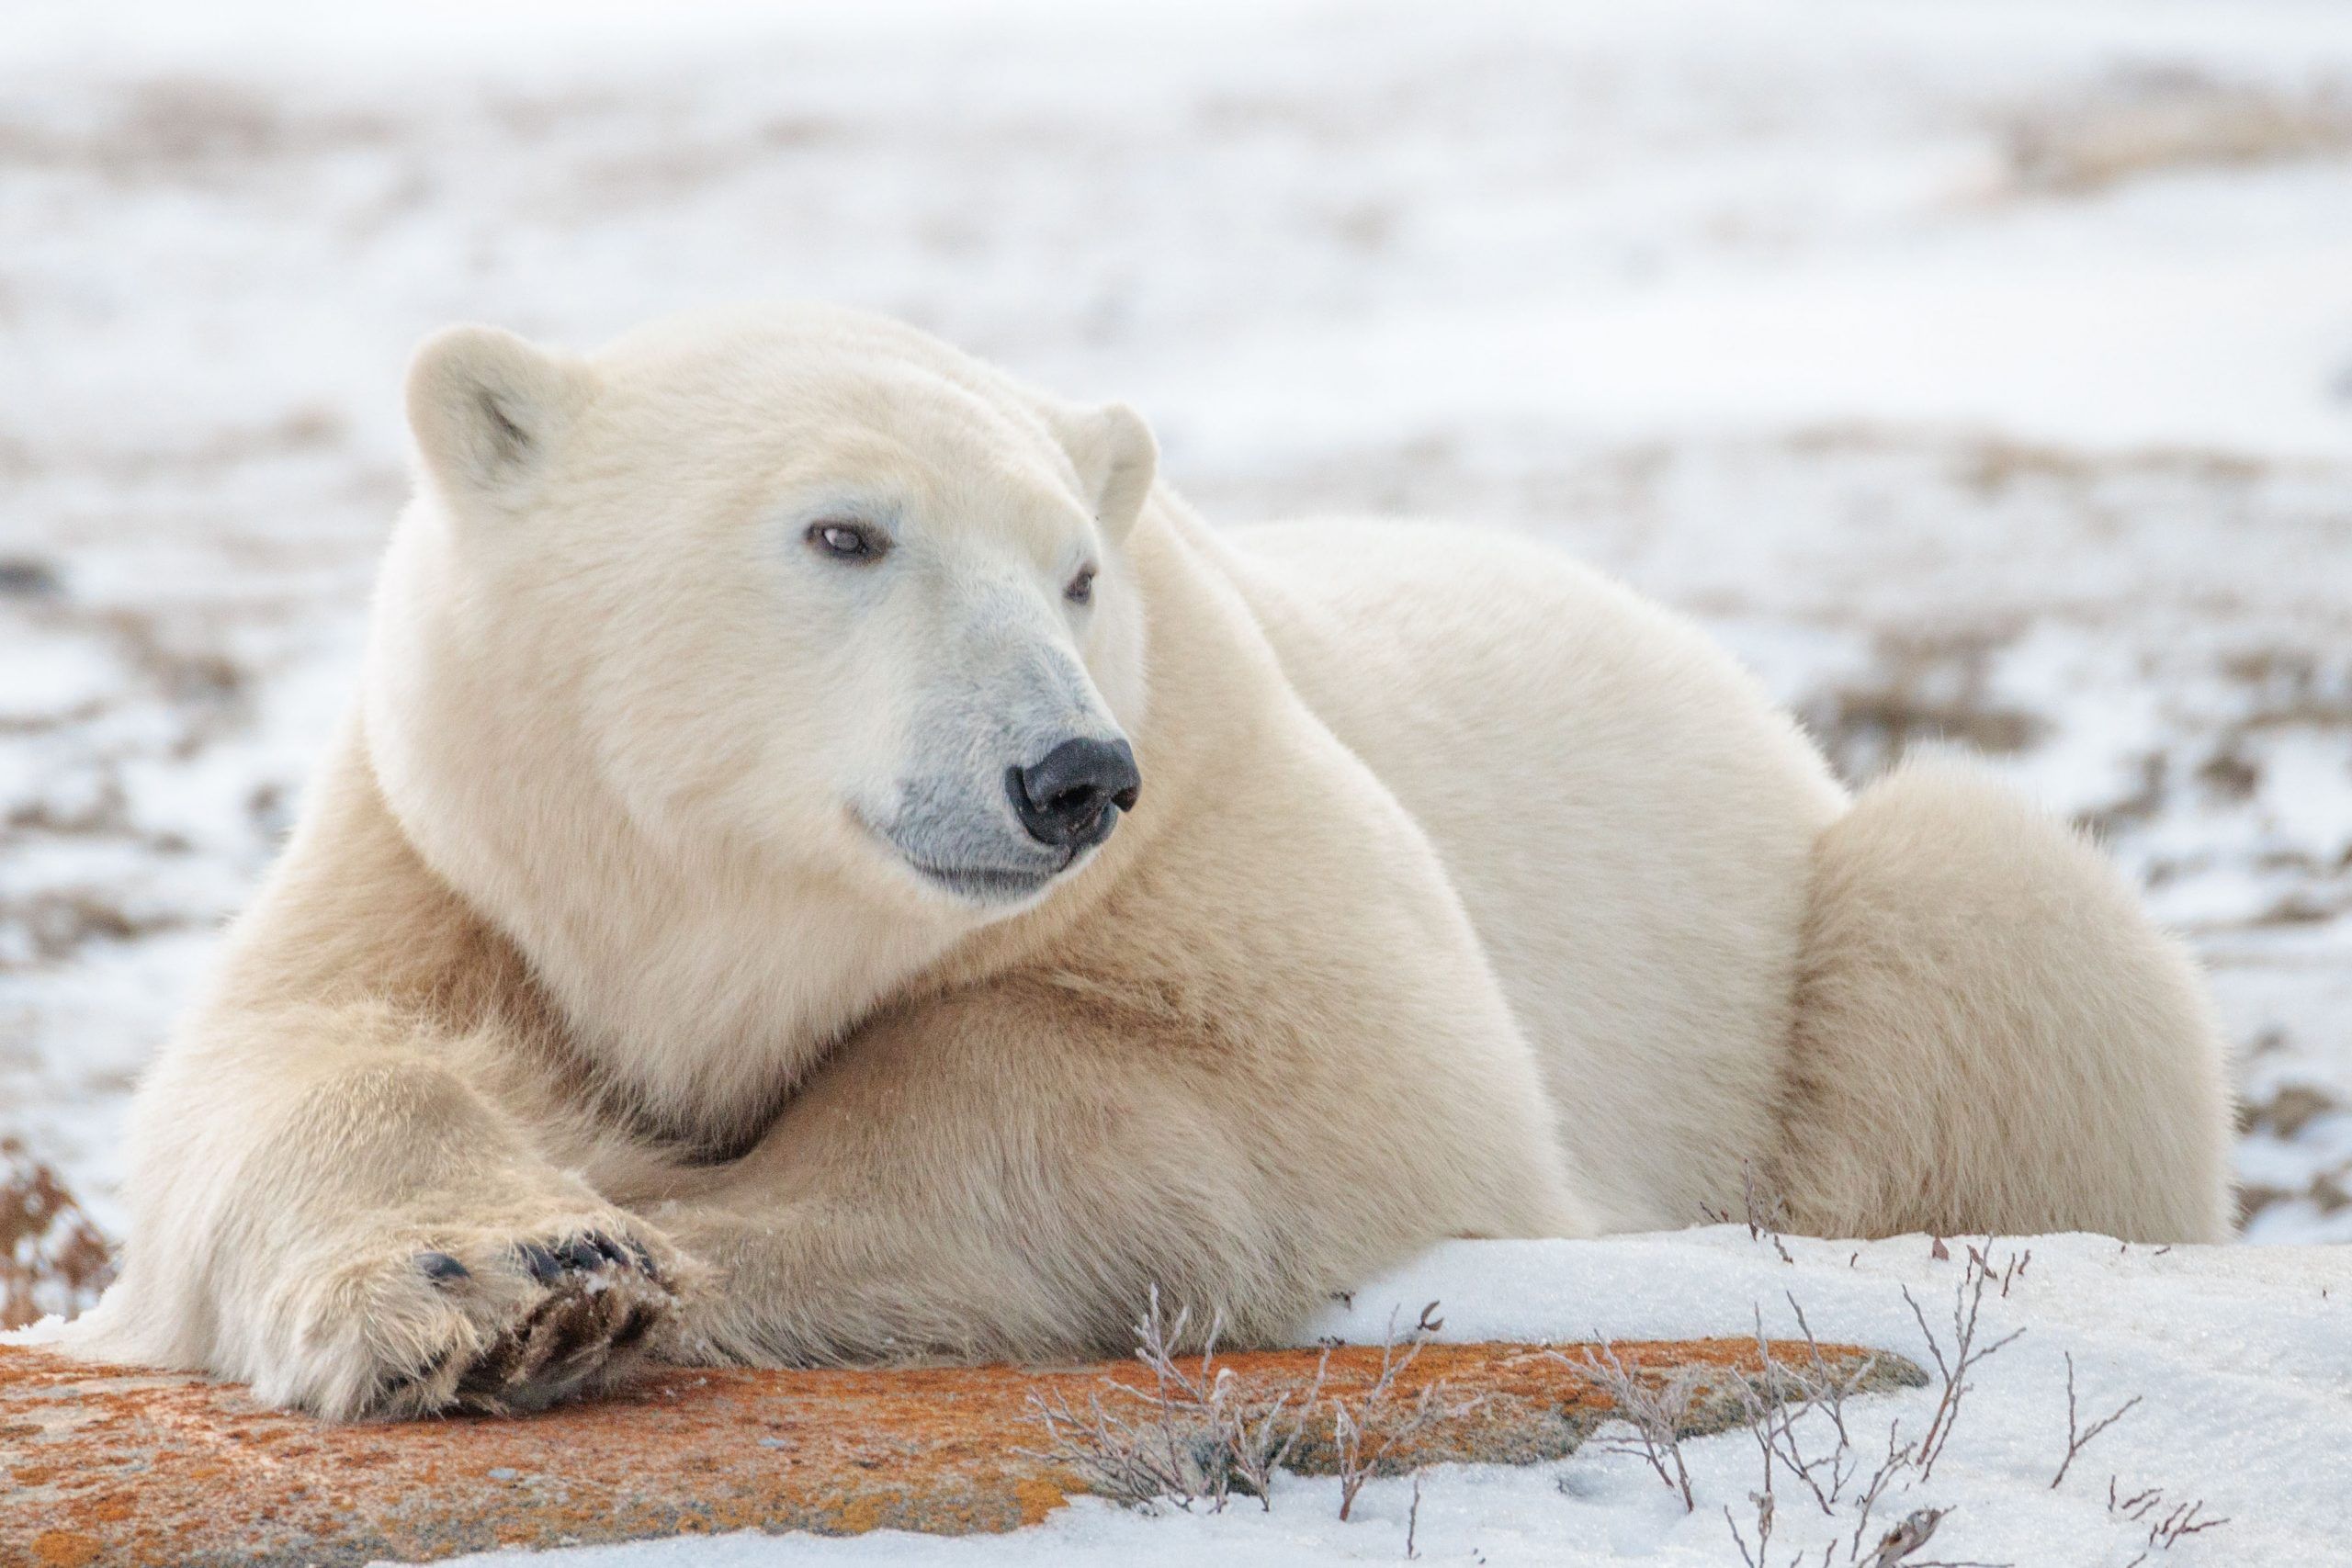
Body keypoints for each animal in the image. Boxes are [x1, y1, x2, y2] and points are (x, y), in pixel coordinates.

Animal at [42, 304, 2233, 1420]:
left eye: (1077, 567)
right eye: (846, 532)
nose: (1070, 772)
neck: (734, 932)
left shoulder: (1230, 822)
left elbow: (1295, 1083)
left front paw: (691, 1223)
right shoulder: (460, 858)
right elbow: (299, 1063)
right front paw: (524, 1275)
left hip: (1836, 925)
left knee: (1987, 901)